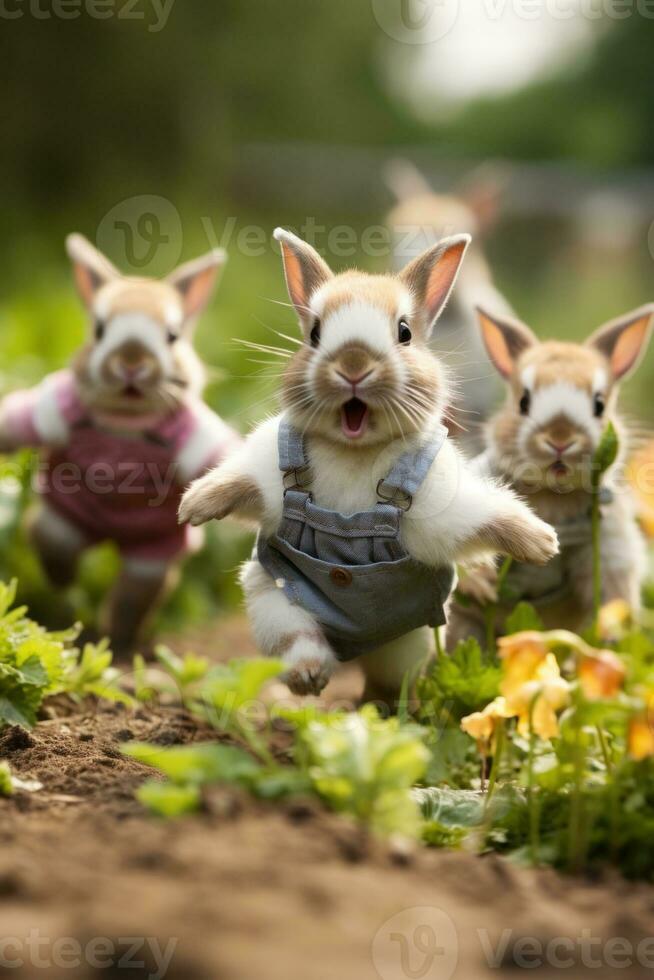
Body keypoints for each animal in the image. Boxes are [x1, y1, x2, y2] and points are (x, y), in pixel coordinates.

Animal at [0, 234, 241, 656]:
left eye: (172, 336)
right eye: (98, 330)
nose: (131, 361)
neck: (126, 425)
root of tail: (115, 537)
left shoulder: (192, 432)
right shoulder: (59, 407)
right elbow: (22, 419)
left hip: (153, 554)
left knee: (133, 596)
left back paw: (120, 644)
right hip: (61, 519)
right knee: (54, 544)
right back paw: (67, 593)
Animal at [179, 230, 560, 704]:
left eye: (404, 332)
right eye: (315, 333)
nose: (354, 365)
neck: (354, 452)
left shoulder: (442, 504)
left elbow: (485, 517)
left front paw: (541, 543)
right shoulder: (265, 468)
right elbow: (239, 481)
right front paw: (193, 507)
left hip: (402, 642)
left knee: (386, 678)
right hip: (276, 600)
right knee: (299, 641)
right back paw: (309, 677)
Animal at [446, 302, 654, 648]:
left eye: (599, 405)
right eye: (523, 401)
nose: (560, 438)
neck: (553, 494)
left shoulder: (609, 535)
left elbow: (613, 588)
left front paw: (612, 635)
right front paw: (484, 587)